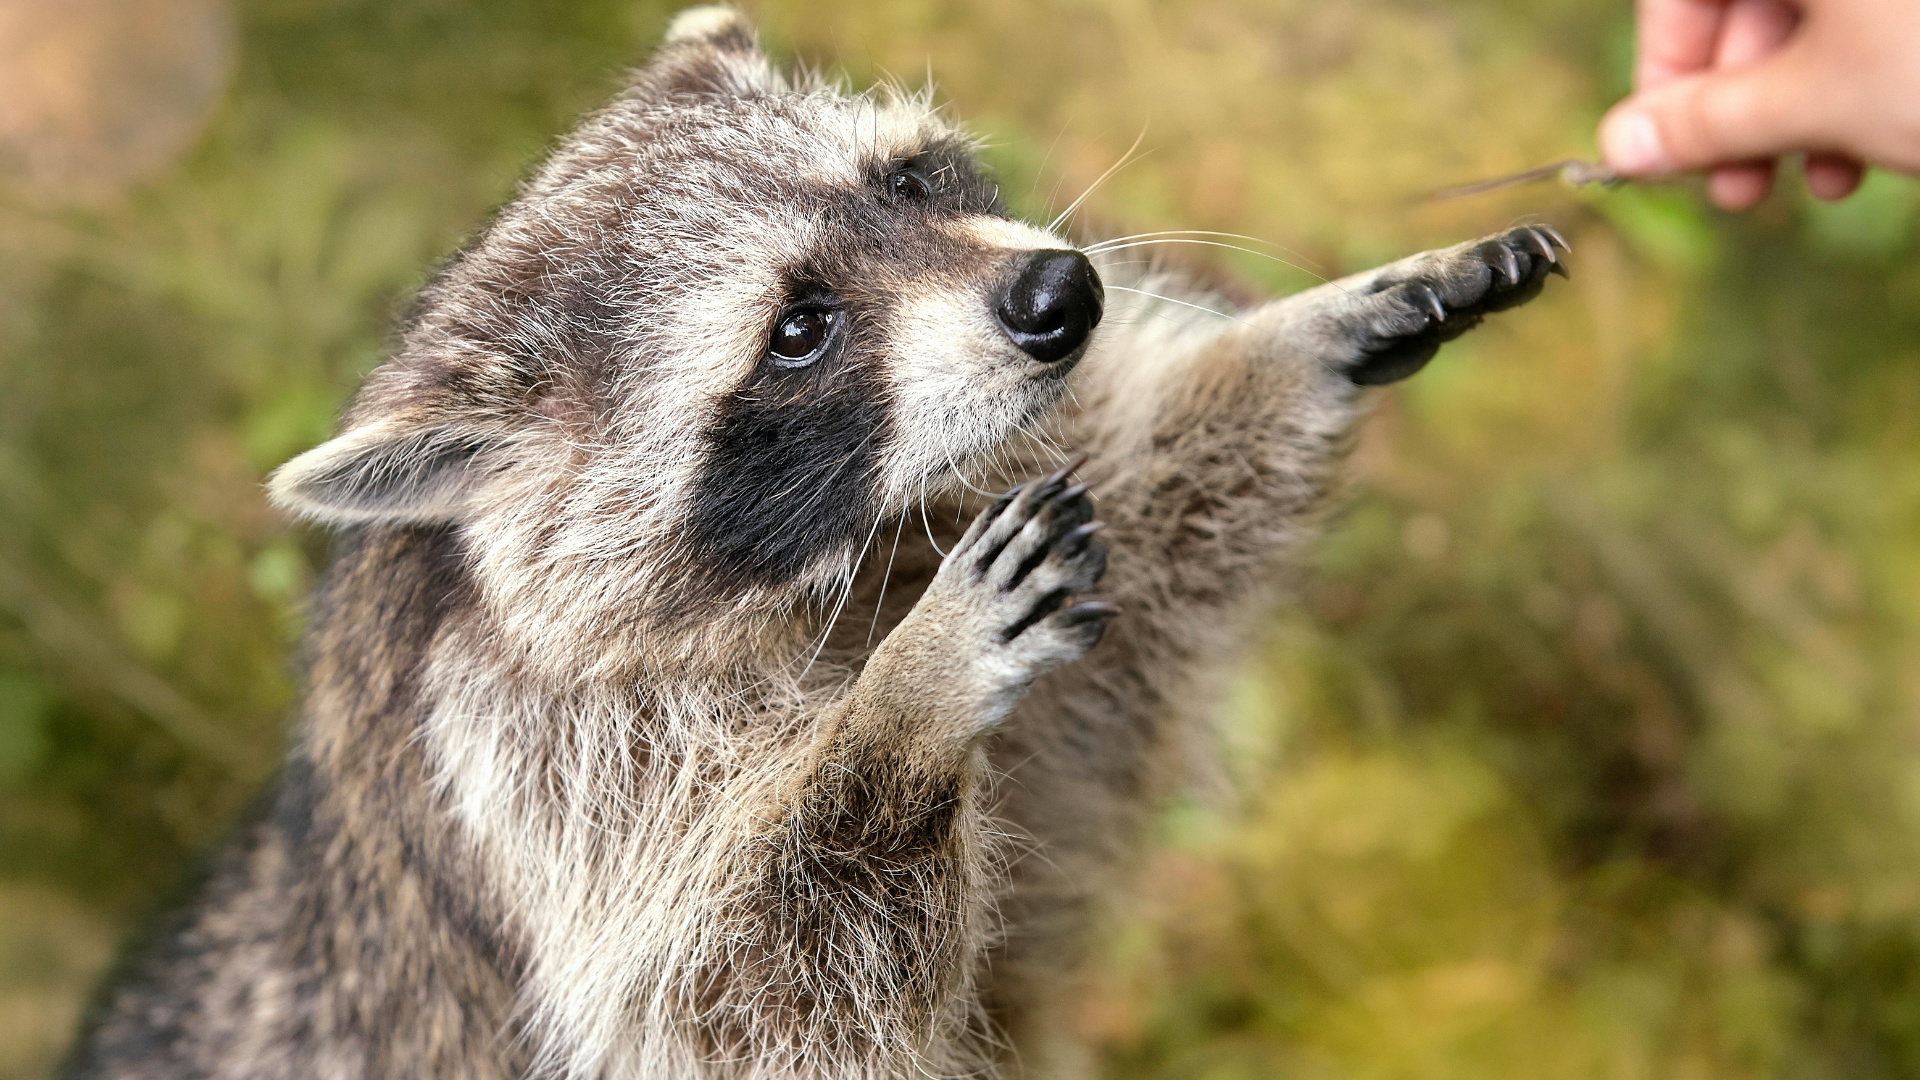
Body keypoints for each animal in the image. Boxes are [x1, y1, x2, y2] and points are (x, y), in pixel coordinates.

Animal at [60, 7, 1566, 1079]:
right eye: (798, 328)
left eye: (905, 179)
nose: (1060, 293)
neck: (852, 556)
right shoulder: (523, 756)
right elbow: (739, 991)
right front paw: (901, 713)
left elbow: (1131, 605)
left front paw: (1293, 341)